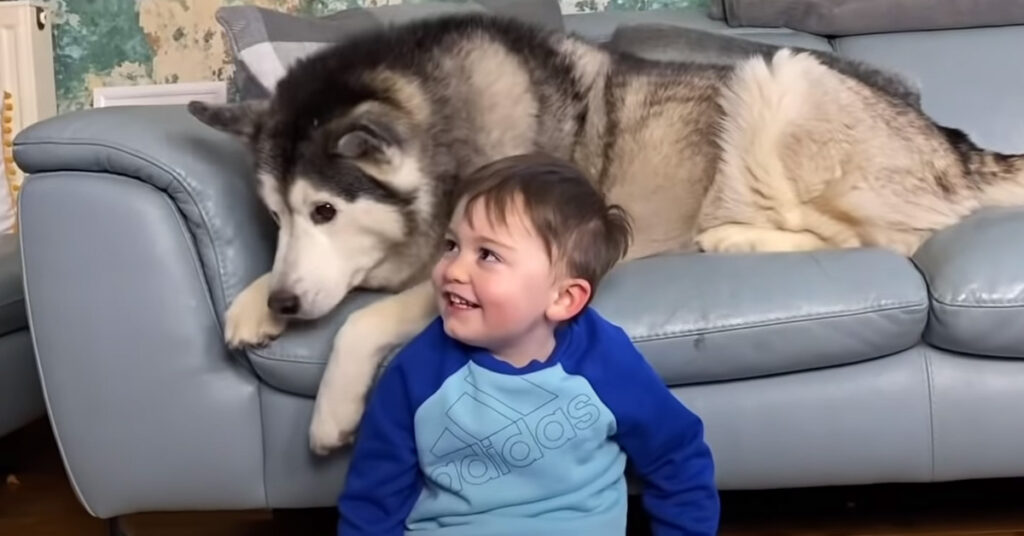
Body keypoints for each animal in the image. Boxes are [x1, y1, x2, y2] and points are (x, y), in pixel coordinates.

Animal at [188, 14, 1024, 455]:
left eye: (326, 210)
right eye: (275, 216)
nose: (288, 306)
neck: (445, 135)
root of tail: (949, 141)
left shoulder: (496, 263)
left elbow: (364, 322)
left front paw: (331, 409)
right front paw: (252, 301)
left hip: (779, 79)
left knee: (886, 243)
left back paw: (738, 240)